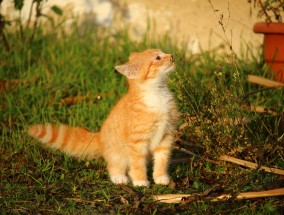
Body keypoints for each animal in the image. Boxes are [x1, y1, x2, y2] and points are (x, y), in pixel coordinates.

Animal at [29, 48, 180, 186]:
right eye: (158, 58)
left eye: (163, 52)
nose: (172, 56)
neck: (158, 94)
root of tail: (100, 136)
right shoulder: (136, 141)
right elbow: (137, 163)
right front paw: (140, 181)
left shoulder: (166, 135)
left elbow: (162, 159)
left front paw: (160, 177)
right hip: (117, 153)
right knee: (115, 165)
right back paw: (119, 177)